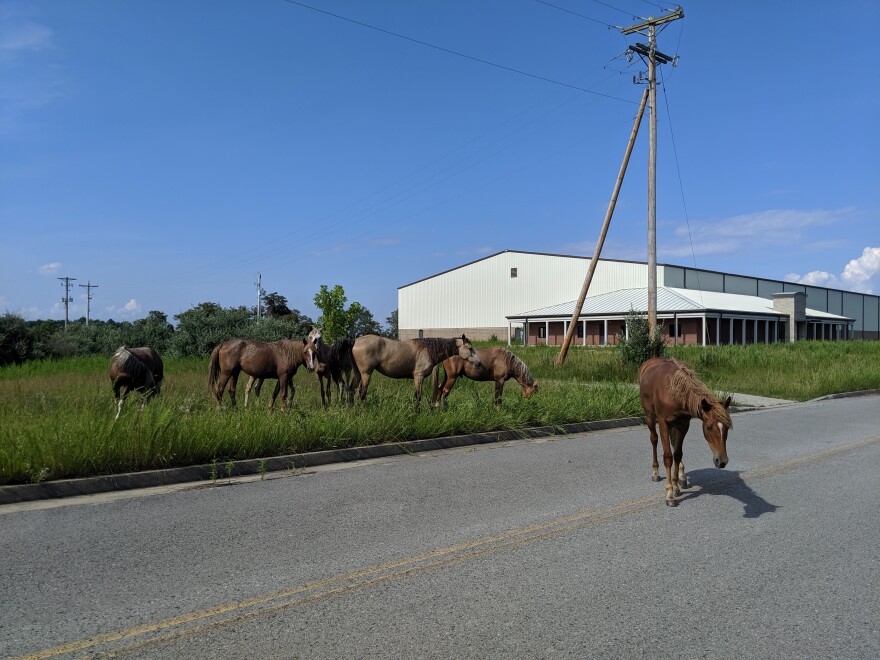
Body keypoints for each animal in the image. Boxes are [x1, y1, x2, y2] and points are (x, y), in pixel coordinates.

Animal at [636, 358, 732, 508]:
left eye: (727, 427)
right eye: (709, 427)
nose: (721, 461)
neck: (674, 392)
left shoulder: (683, 424)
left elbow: (677, 454)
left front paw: (676, 486)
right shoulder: (663, 423)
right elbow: (668, 457)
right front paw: (669, 494)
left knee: (674, 444)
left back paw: (682, 477)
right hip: (650, 417)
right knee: (654, 440)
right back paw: (655, 472)